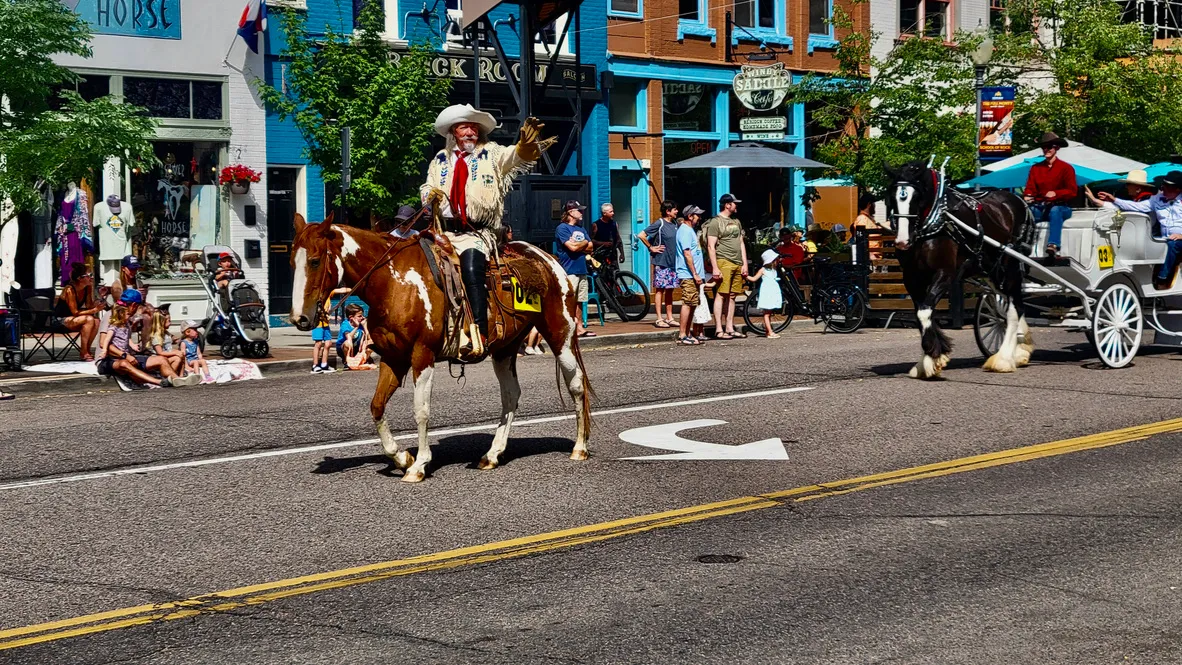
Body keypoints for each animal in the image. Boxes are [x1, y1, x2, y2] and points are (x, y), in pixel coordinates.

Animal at [291, 216, 595, 481]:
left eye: (315, 261)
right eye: (293, 261)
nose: (300, 318)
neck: (393, 281)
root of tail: (548, 259)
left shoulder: (422, 355)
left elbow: (421, 410)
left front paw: (419, 465)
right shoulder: (393, 358)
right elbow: (377, 406)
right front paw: (402, 457)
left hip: (560, 335)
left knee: (576, 384)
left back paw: (579, 447)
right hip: (505, 348)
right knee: (511, 396)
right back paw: (492, 454)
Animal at [888, 159, 1035, 380]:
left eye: (917, 197)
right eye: (892, 196)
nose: (903, 241)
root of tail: (1019, 202)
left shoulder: (944, 274)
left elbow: (925, 312)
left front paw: (933, 357)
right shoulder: (912, 279)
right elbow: (922, 315)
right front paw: (928, 360)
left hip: (1011, 266)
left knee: (1013, 309)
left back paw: (1003, 359)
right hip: (993, 271)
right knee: (1014, 304)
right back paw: (1020, 349)